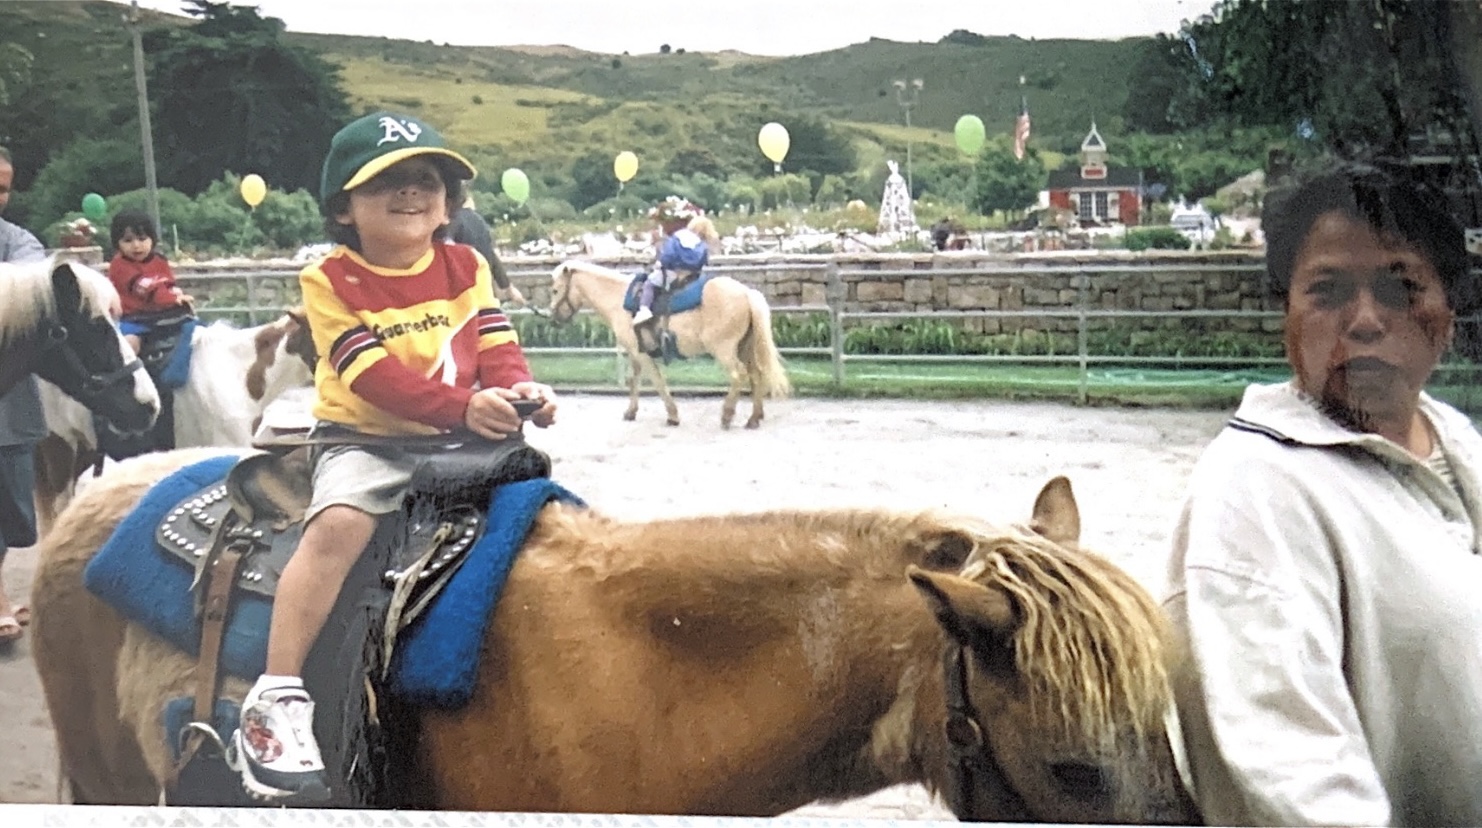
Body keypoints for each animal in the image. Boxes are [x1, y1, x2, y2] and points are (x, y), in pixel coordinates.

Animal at [551, 259, 794, 426]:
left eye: (554, 290)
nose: (554, 317)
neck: (618, 299)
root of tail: (746, 292)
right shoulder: (635, 353)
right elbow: (633, 380)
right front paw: (631, 412)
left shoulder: (642, 354)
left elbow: (658, 382)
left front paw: (673, 416)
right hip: (745, 347)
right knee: (756, 375)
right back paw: (754, 418)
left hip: (723, 349)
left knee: (739, 375)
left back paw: (727, 415)